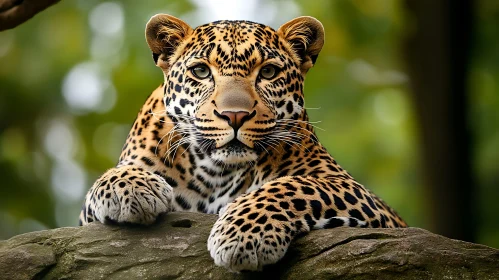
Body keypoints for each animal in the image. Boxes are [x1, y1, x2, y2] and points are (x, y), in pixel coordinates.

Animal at [78, 14, 406, 272]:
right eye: (201, 71)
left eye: (268, 72)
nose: (234, 115)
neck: (214, 172)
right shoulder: (83, 220)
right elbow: (108, 180)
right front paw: (131, 188)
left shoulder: (358, 194)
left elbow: (294, 185)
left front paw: (242, 235)